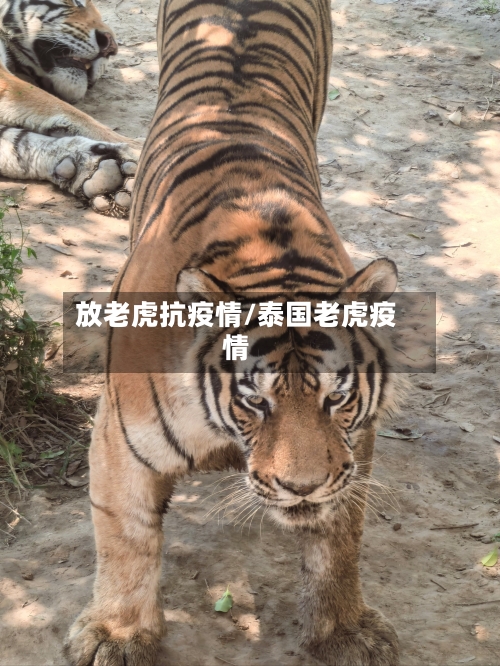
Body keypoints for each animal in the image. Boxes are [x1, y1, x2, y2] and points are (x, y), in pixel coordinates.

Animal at [0, 0, 140, 217]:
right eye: (76, 2)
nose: (112, 48)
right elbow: (66, 110)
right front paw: (140, 149)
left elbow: (18, 144)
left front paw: (102, 171)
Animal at [64, 0, 402, 665]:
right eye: (256, 401)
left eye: (337, 399)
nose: (302, 488)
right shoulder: (121, 438)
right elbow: (125, 537)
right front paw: (117, 634)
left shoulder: (355, 445)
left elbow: (339, 541)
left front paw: (344, 630)